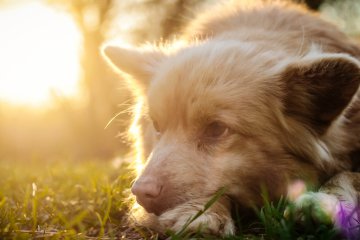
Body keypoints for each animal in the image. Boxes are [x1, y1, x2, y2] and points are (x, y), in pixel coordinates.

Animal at [101, 0, 360, 236]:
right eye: (157, 125)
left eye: (216, 129)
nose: (140, 192)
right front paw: (202, 212)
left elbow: (347, 176)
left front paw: (326, 204)